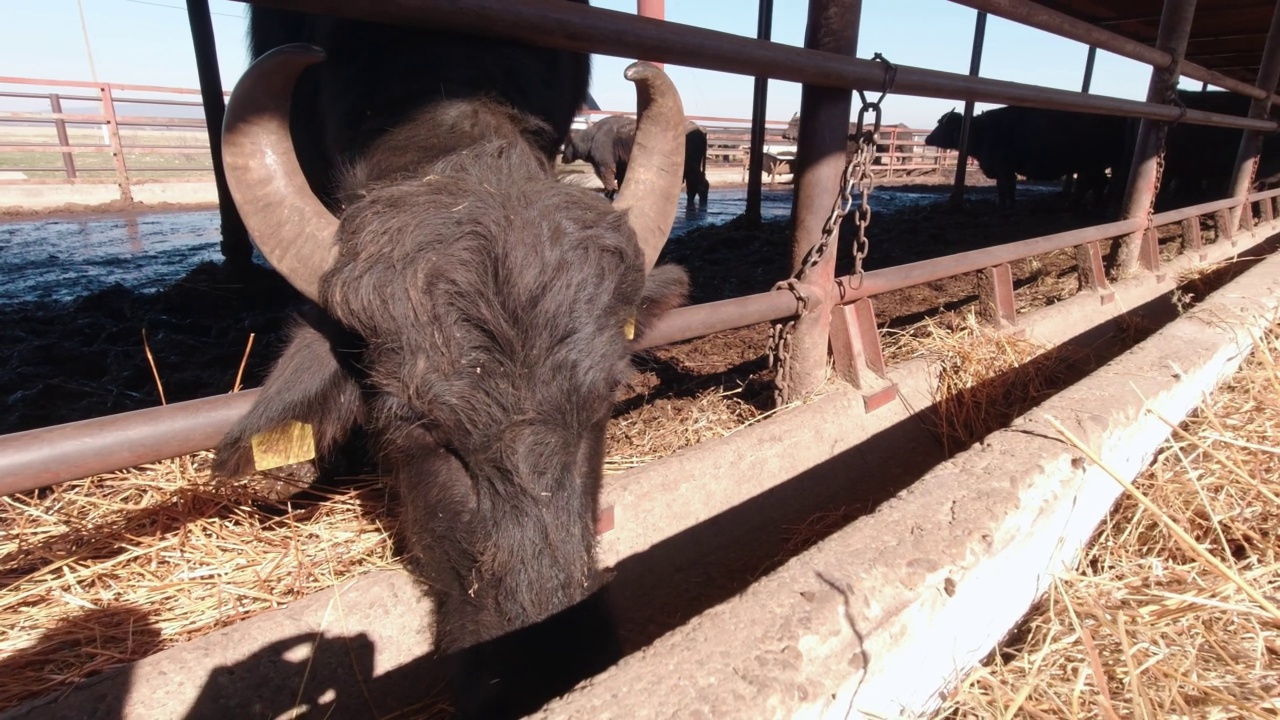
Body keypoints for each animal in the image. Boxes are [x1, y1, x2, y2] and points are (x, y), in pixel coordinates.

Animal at [565, 114, 716, 204]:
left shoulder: (605, 165)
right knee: (698, 185)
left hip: (691, 166)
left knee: (698, 185)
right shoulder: (622, 167)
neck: (592, 136)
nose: (563, 157)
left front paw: (608, 195)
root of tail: (701, 128)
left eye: (566, 142)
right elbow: (620, 183)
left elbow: (608, 182)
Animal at [926, 105, 1126, 208]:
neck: (982, 130)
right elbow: (1004, 189)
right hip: (1090, 166)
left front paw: (1007, 207)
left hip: (1093, 164)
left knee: (1097, 183)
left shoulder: (1004, 169)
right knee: (1092, 184)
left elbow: (1006, 188)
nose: (927, 139)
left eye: (942, 124)